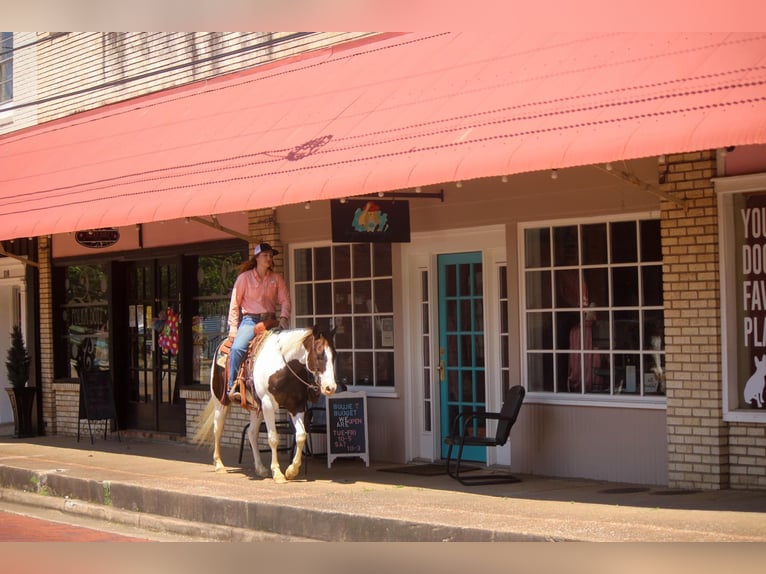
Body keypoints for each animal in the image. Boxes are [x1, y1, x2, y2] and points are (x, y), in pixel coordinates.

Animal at [194, 326, 338, 484]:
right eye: (319, 355)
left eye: (334, 355)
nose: (330, 388)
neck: (283, 368)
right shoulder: (268, 405)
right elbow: (273, 438)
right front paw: (277, 473)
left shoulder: (296, 406)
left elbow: (301, 435)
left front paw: (291, 471)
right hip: (220, 401)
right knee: (218, 429)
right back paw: (219, 465)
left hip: (255, 408)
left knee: (251, 433)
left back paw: (260, 468)